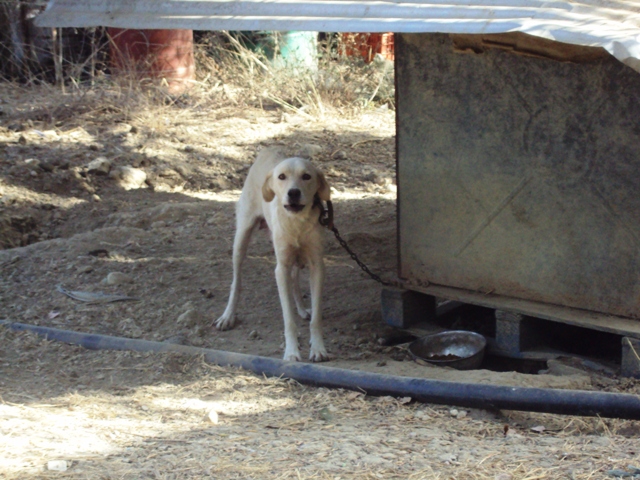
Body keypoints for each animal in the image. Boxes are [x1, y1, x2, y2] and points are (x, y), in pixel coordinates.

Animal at [218, 148, 332, 362]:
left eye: (306, 176)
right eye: (282, 177)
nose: (293, 192)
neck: (296, 222)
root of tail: (267, 150)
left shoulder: (316, 266)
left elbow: (317, 317)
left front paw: (318, 348)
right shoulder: (281, 269)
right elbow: (288, 319)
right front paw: (292, 352)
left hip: (295, 258)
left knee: (294, 279)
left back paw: (302, 309)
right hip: (241, 238)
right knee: (236, 281)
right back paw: (228, 316)